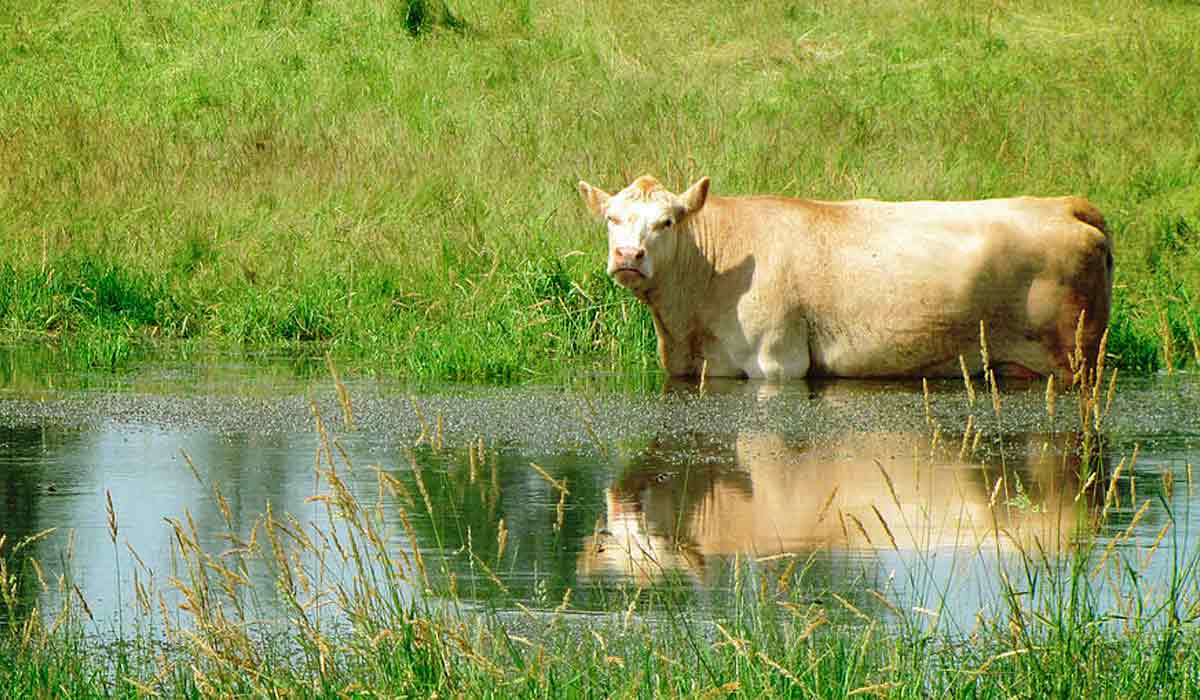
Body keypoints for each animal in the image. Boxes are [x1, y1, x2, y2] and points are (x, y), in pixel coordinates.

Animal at [576, 175, 1108, 384]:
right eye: (612, 219)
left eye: (666, 222)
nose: (628, 255)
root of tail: (1065, 203)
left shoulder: (777, 362)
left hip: (1075, 357)